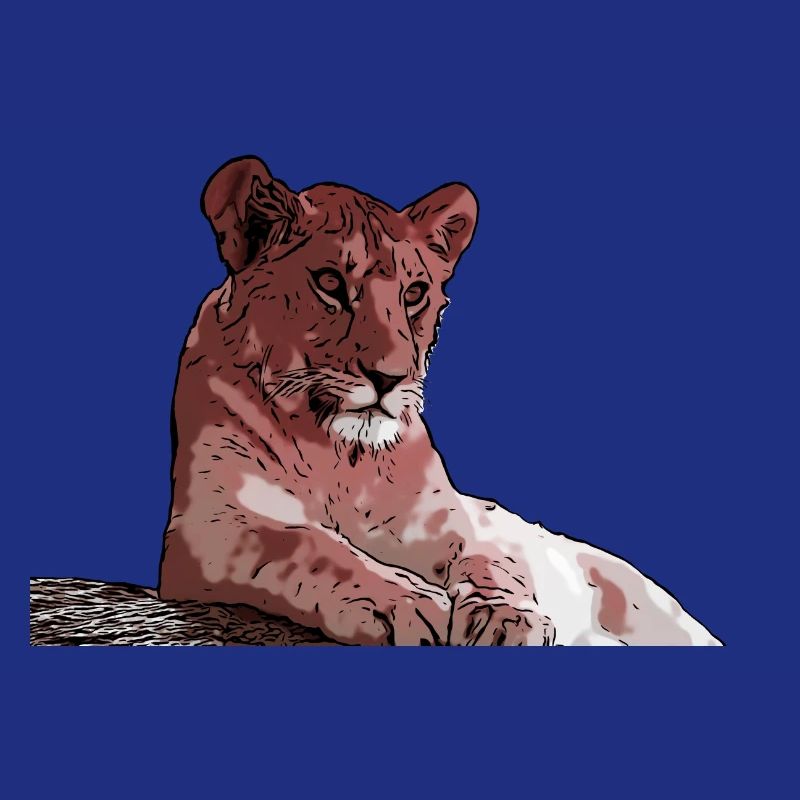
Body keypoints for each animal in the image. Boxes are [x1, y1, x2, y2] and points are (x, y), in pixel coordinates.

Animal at [158, 155, 721, 646]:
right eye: (330, 283)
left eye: (414, 294)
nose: (389, 378)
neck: (341, 459)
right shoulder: (213, 525)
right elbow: (307, 544)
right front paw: (406, 604)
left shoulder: (455, 521)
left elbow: (494, 562)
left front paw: (507, 618)